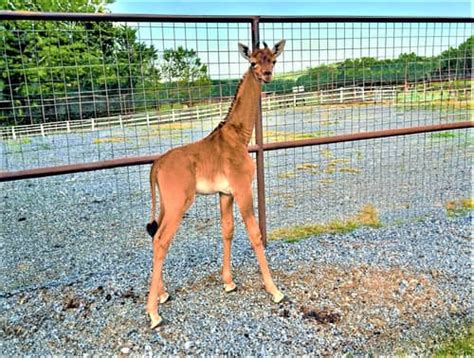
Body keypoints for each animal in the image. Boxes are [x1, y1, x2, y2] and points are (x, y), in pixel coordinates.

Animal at [145, 38, 286, 328]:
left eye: (273, 60)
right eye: (253, 62)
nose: (266, 75)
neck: (239, 136)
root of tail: (156, 166)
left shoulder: (225, 193)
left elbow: (227, 230)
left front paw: (229, 282)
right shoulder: (242, 188)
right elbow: (254, 234)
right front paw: (275, 290)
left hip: (165, 204)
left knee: (154, 236)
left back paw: (162, 294)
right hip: (179, 203)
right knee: (162, 240)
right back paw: (153, 313)